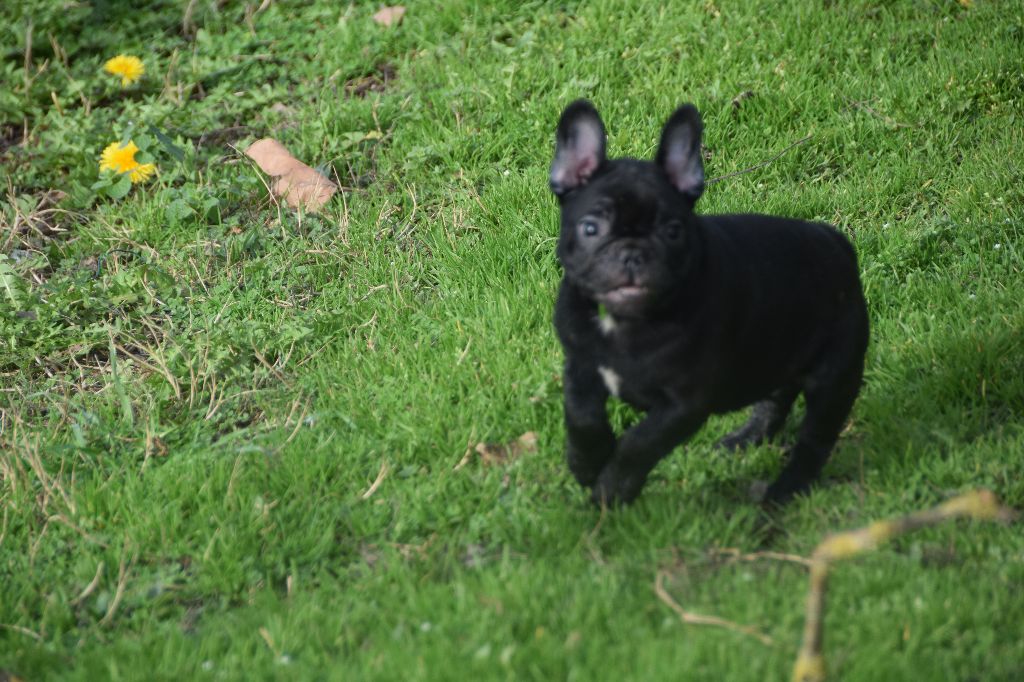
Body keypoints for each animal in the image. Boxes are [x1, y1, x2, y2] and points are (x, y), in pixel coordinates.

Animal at [548, 100, 868, 503]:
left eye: (673, 231)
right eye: (590, 229)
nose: (633, 254)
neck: (622, 321)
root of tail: (837, 243)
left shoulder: (684, 404)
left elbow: (640, 443)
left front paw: (612, 490)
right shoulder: (580, 363)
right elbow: (580, 414)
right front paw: (588, 461)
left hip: (834, 376)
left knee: (815, 440)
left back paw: (783, 492)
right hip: (774, 352)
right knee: (775, 398)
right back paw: (745, 438)